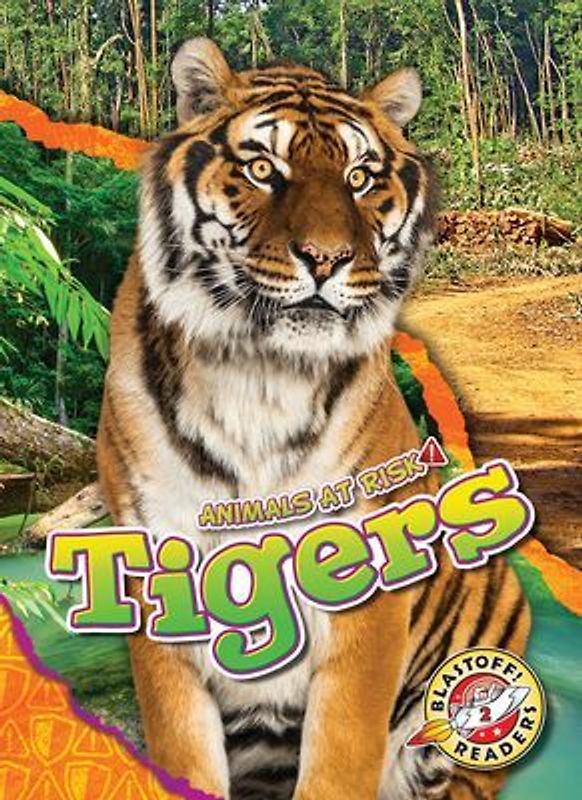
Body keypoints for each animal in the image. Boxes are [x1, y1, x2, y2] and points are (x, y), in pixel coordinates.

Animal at [96, 37, 530, 800]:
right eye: (263, 169)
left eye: (360, 178)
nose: (327, 260)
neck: (260, 374)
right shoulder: (155, 572)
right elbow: (183, 748)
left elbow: (340, 755)